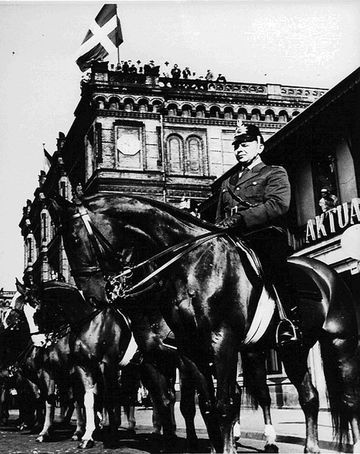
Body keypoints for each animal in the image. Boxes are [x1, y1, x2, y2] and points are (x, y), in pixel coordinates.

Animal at [48, 193, 360, 452]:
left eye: (73, 240)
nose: (93, 296)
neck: (193, 265)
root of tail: (326, 272)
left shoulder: (221, 343)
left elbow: (222, 405)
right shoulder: (189, 351)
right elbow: (205, 406)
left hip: (340, 342)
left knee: (347, 398)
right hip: (291, 349)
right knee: (309, 397)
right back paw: (310, 447)